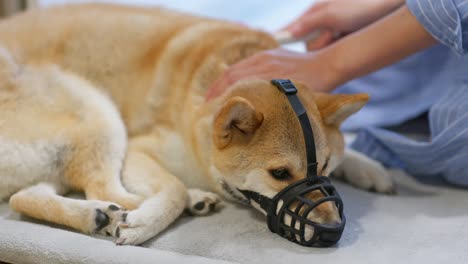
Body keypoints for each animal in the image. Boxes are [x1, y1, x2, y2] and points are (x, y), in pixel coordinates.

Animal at [0, 3, 394, 245]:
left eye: (324, 167)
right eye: (280, 174)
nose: (330, 230)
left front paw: (370, 167)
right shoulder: (140, 149)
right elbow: (171, 188)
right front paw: (145, 222)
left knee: (25, 197)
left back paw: (93, 215)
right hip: (98, 110)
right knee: (105, 188)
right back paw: (159, 205)